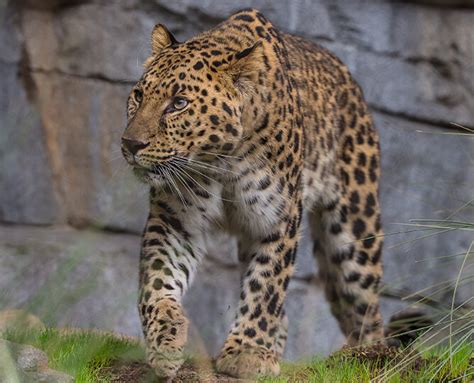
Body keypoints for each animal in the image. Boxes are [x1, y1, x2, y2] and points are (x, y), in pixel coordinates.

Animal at [121, 9, 386, 380]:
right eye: (138, 95)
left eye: (179, 103)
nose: (130, 144)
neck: (219, 161)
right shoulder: (176, 221)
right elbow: (158, 280)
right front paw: (165, 340)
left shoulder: (279, 220)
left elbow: (266, 286)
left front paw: (246, 353)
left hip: (354, 234)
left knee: (367, 310)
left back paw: (373, 356)